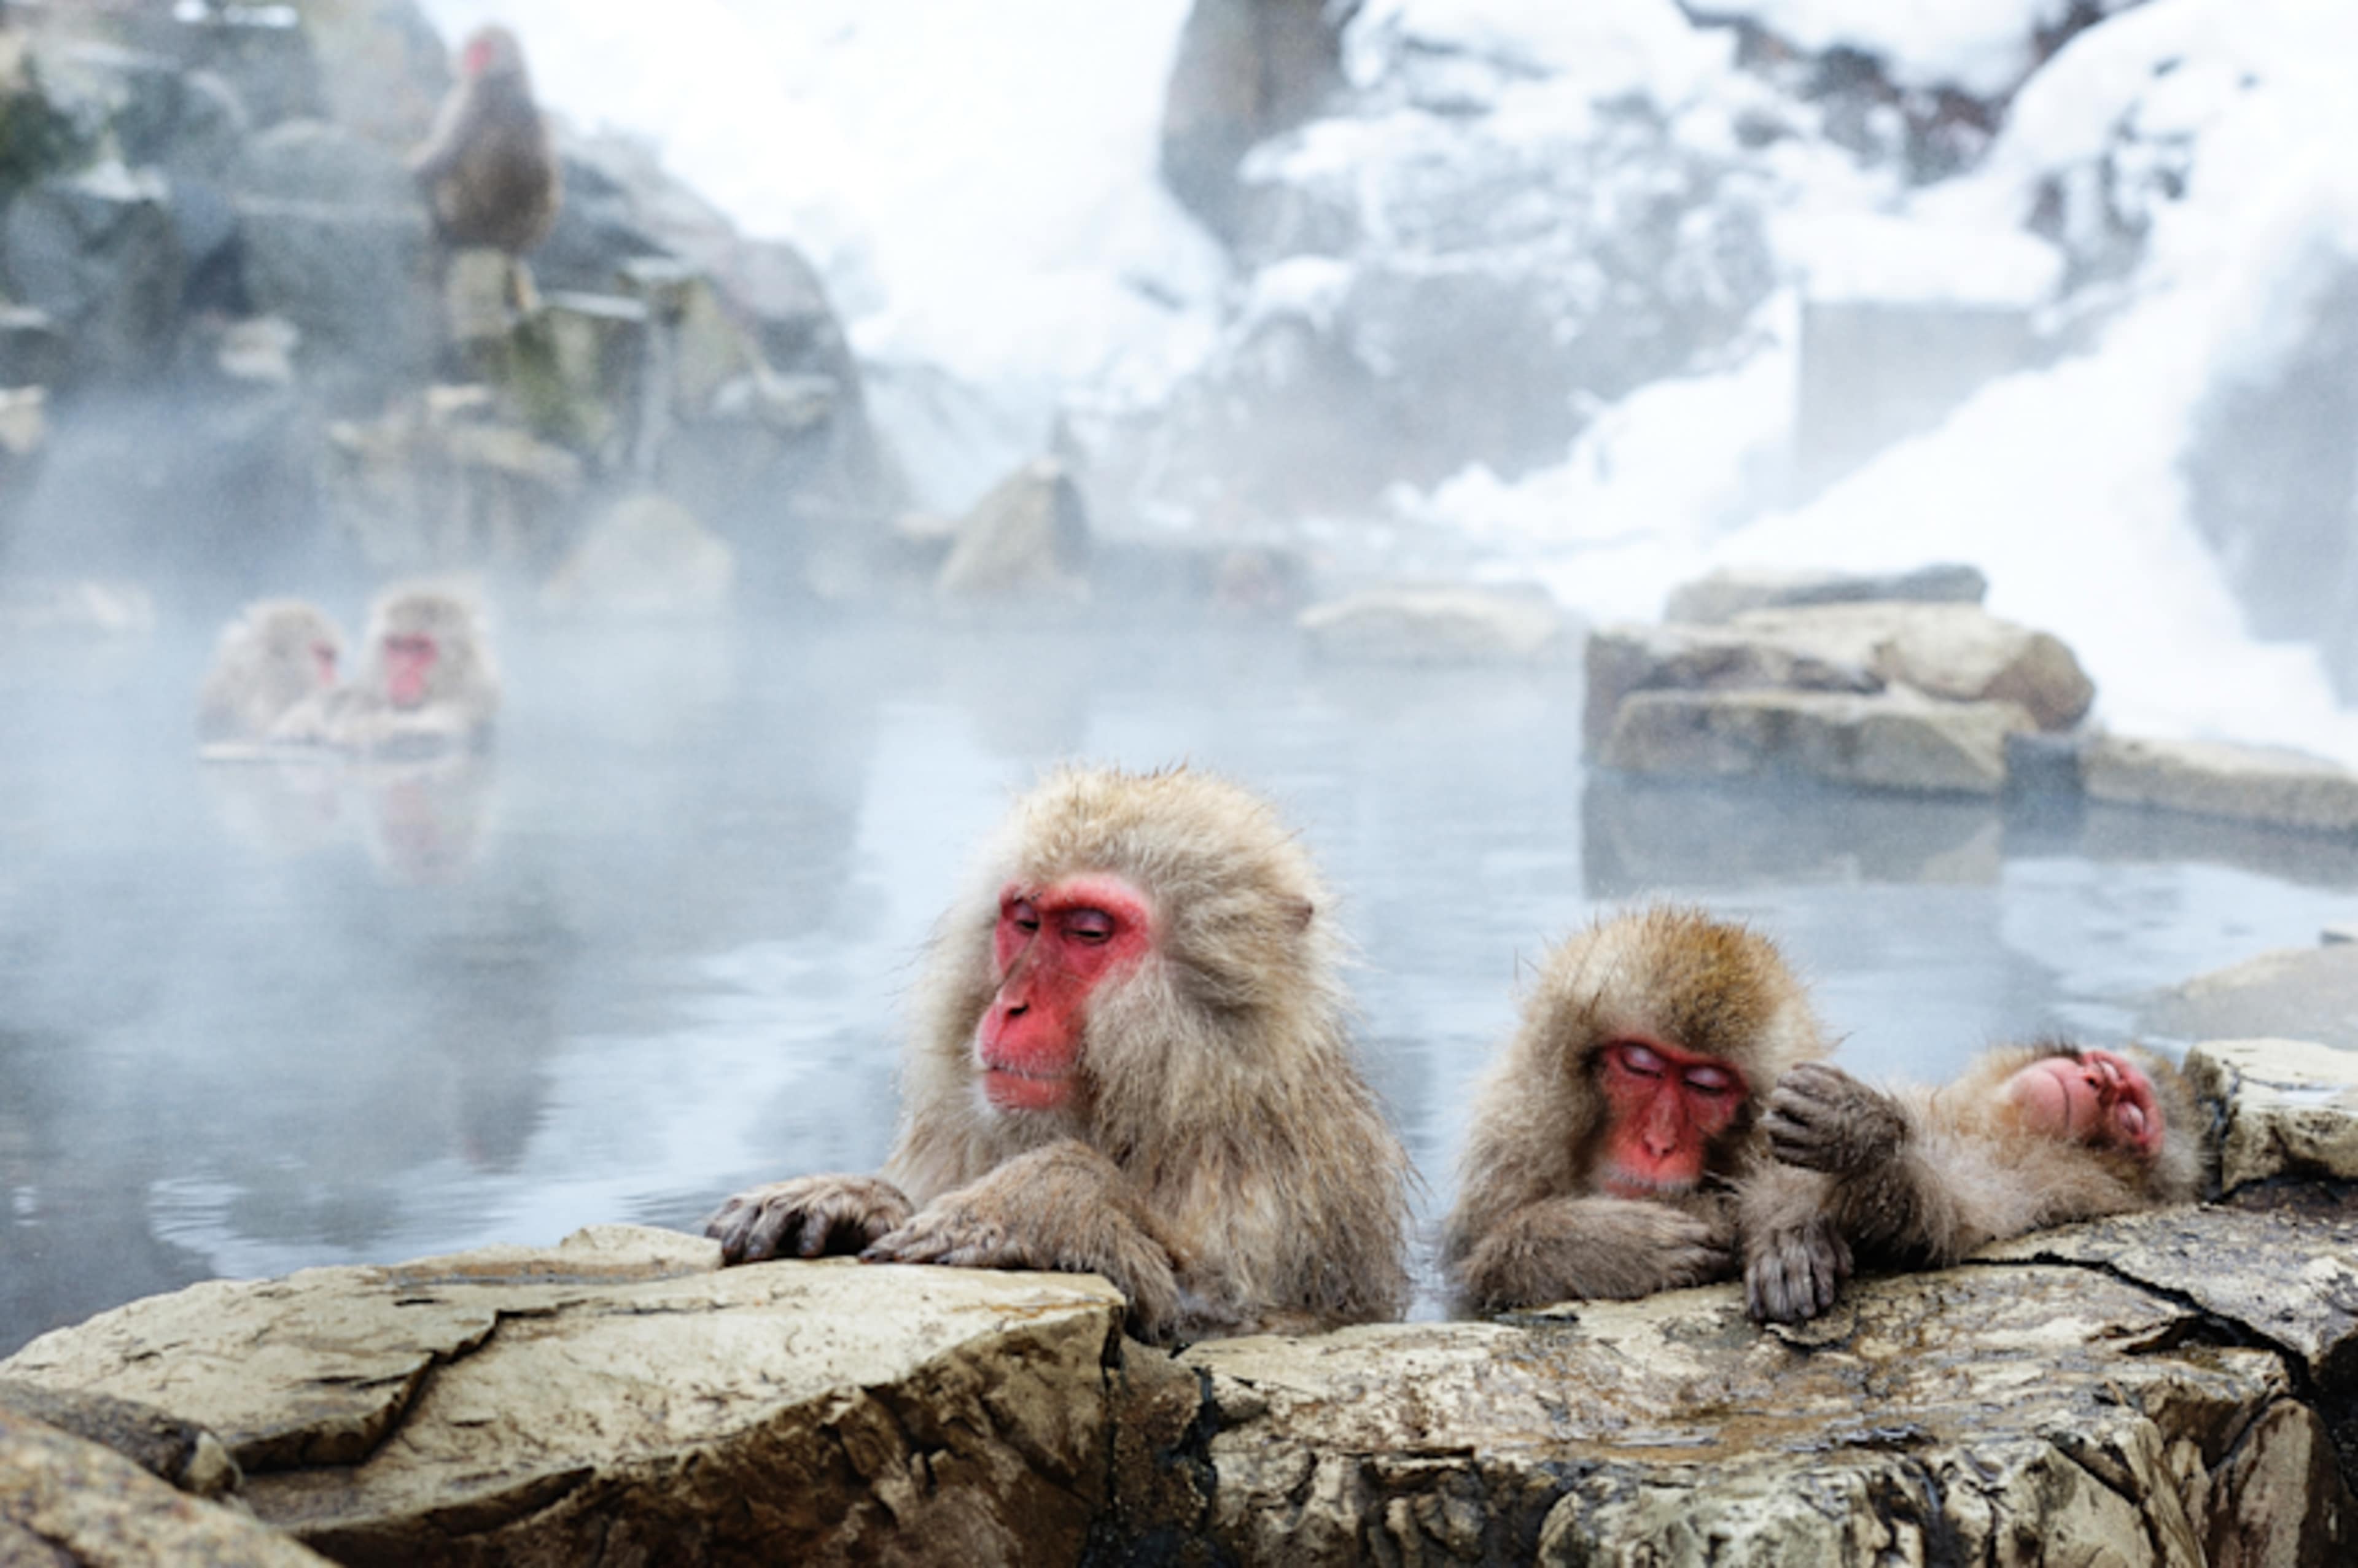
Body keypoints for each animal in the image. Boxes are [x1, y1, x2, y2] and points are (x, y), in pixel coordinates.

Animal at [273, 583, 500, 759]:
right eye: (396, 645)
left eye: (419, 647)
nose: (400, 671)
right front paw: (302, 722)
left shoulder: (463, 706)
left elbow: (424, 732)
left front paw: (358, 732)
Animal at [408, 25, 561, 256]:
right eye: (474, 48)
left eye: (485, 50)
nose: (471, 60)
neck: (506, 77)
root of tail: (496, 239)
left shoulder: (469, 101)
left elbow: (442, 157)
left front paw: (413, 169)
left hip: (458, 206)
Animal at [704, 764, 1414, 1345]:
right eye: (1024, 920)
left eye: (1089, 932)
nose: (1011, 1005)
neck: (1168, 1101)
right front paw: (852, 1198)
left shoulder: (1275, 1181)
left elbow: (1226, 1317)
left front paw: (1046, 1202)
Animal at [1742, 1042, 2206, 1325]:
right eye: (2103, 1067)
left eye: (2132, 1113)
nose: (2098, 1083)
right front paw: (1792, 1235)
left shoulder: (2056, 1179)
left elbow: (1939, 1217)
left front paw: (1861, 1131)